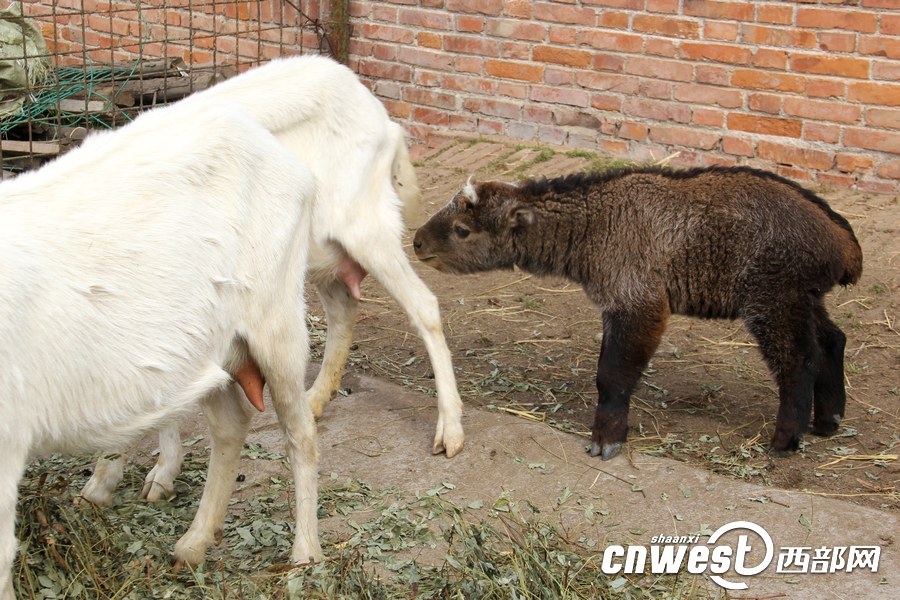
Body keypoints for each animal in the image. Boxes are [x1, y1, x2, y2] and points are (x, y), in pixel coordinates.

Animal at [0, 97, 324, 596]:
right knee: (231, 424)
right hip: (210, 344)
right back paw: (193, 543)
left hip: (277, 319)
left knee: (301, 433)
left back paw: (305, 556)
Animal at [414, 166, 864, 462]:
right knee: (831, 341)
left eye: (462, 230)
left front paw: (607, 438)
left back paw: (786, 438)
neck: (596, 225)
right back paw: (828, 419)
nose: (417, 242)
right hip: (804, 297)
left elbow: (612, 376)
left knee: (798, 360)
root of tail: (843, 242)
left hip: (773, 297)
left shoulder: (638, 302)